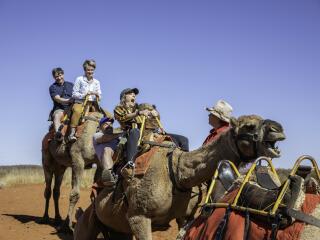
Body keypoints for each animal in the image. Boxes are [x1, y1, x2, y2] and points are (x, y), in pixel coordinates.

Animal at [74, 115, 284, 240]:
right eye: (249, 126)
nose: (278, 129)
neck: (177, 172)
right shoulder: (138, 216)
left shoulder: (185, 216)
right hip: (90, 222)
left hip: (116, 230)